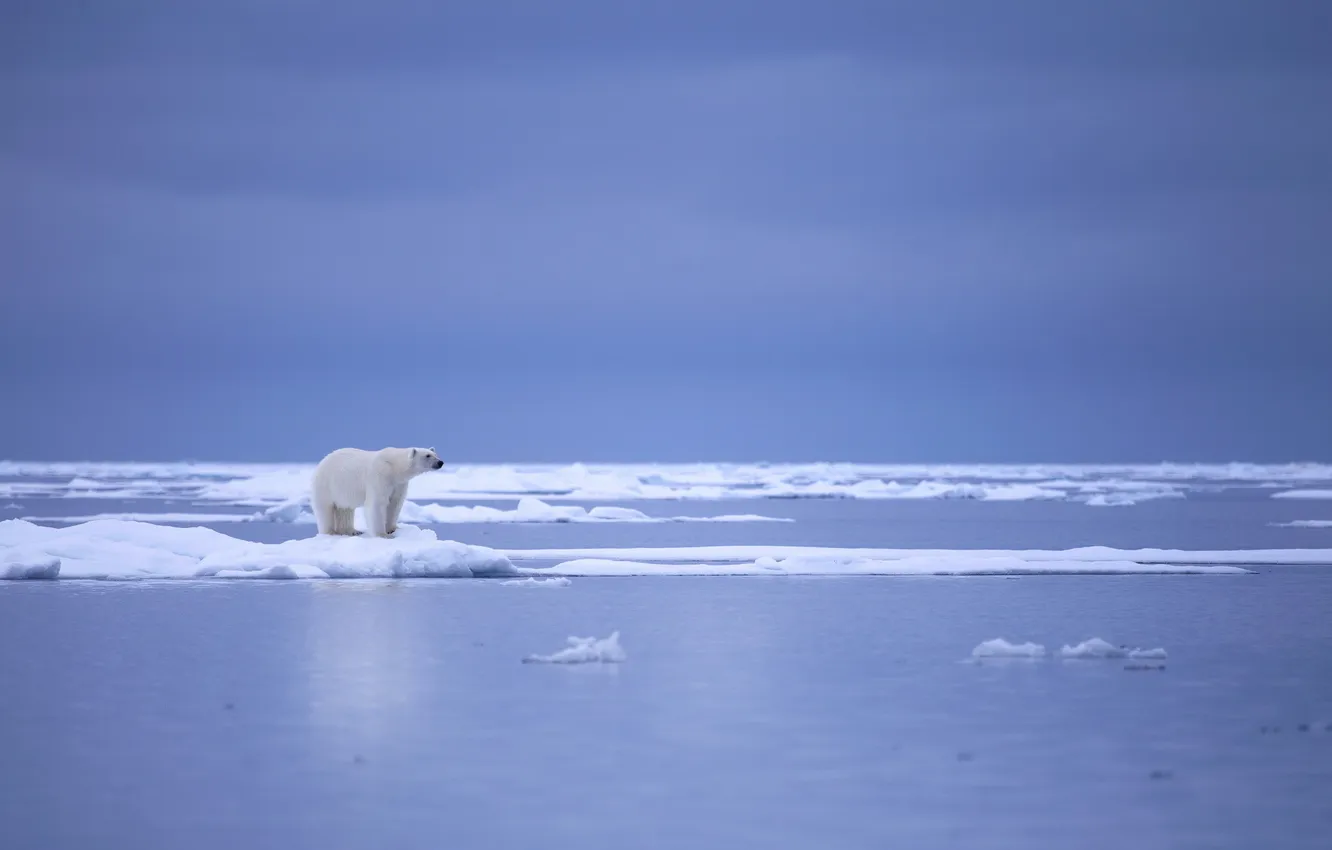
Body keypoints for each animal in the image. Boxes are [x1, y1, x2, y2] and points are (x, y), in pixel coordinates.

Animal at [311, 447, 444, 538]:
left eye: (435, 454)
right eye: (427, 455)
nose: (440, 462)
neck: (395, 467)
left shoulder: (399, 484)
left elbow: (395, 503)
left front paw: (392, 529)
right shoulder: (380, 476)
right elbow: (378, 503)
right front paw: (383, 534)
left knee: (345, 509)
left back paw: (352, 531)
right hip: (327, 485)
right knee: (325, 509)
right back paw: (330, 532)